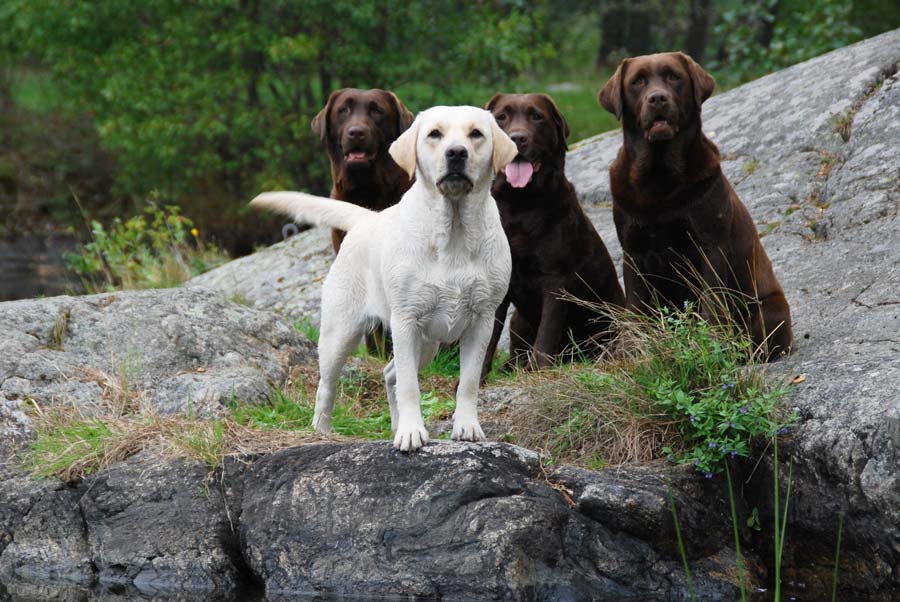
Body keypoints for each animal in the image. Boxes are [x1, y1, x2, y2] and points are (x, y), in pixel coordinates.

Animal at [253, 105, 520, 450]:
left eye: (476, 134)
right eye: (434, 134)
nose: (456, 153)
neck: (454, 233)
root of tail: (367, 217)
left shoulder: (482, 322)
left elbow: (468, 382)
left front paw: (466, 427)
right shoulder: (406, 321)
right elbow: (409, 386)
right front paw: (411, 433)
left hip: (428, 343)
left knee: (390, 373)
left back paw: (395, 424)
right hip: (340, 333)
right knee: (329, 385)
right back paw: (322, 430)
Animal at [482, 92, 624, 376]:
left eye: (537, 116)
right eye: (501, 117)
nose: (517, 138)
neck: (520, 206)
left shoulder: (555, 281)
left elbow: (546, 336)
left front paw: (539, 371)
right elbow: (487, 341)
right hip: (518, 320)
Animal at [600, 52, 792, 356]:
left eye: (673, 76)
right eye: (637, 81)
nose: (657, 98)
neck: (658, 179)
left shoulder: (710, 246)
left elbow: (711, 301)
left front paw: (711, 342)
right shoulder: (633, 253)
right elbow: (635, 308)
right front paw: (630, 350)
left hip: (771, 309)